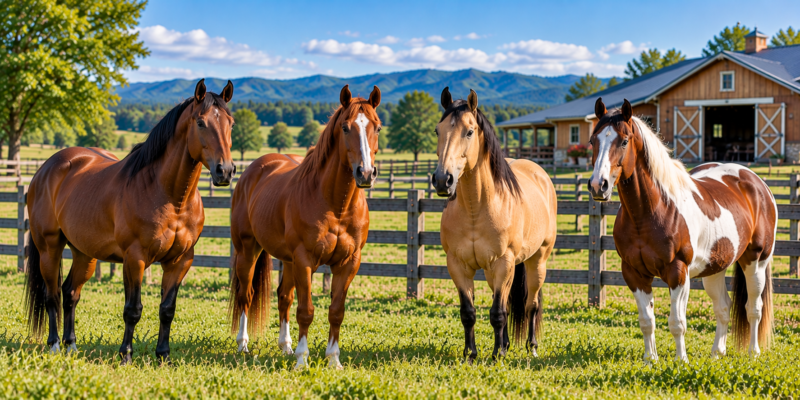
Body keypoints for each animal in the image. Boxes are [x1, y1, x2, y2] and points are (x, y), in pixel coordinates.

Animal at [24, 79, 236, 364]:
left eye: (230, 123)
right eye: (201, 123)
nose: (225, 171)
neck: (169, 197)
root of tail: (45, 170)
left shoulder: (180, 261)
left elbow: (167, 309)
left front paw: (163, 356)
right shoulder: (135, 259)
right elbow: (132, 310)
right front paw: (125, 355)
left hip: (84, 253)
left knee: (70, 293)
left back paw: (72, 345)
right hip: (50, 248)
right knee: (52, 295)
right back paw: (55, 344)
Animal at [229, 84, 380, 369]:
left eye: (376, 127)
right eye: (345, 127)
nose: (365, 173)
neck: (335, 204)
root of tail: (253, 170)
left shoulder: (348, 263)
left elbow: (336, 311)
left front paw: (333, 359)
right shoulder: (304, 260)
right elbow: (306, 311)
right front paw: (302, 360)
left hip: (287, 261)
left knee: (283, 297)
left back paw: (285, 346)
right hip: (248, 250)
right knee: (246, 295)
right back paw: (243, 344)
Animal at [432, 88, 557, 362]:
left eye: (469, 131)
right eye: (437, 130)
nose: (443, 180)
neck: (476, 209)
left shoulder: (503, 263)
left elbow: (498, 313)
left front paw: (497, 353)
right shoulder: (458, 266)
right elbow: (469, 312)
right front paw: (471, 353)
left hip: (536, 262)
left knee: (531, 305)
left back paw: (531, 346)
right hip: (494, 272)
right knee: (507, 304)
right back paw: (508, 344)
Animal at [588, 98, 776, 362]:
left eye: (624, 141)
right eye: (592, 141)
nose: (598, 186)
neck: (650, 212)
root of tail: (757, 183)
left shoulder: (677, 272)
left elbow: (677, 322)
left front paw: (681, 360)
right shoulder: (634, 273)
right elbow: (646, 320)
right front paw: (650, 360)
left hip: (756, 261)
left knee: (754, 309)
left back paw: (753, 352)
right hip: (715, 267)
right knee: (723, 307)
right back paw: (717, 353)